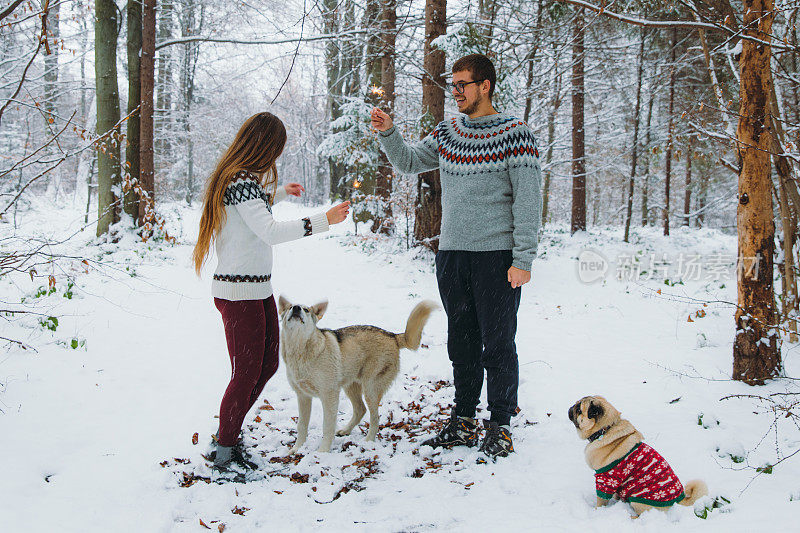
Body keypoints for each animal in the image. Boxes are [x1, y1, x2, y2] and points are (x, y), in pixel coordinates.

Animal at [280, 296, 438, 454]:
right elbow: (301, 426)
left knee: (375, 418)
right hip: (351, 387)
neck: (299, 350)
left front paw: (322, 452)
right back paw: (345, 430)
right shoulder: (303, 397)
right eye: (290, 307)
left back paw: (369, 441)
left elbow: (327, 427)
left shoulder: (329, 396)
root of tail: (392, 336)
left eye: (306, 310)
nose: (296, 308)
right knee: (361, 410)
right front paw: (297, 448)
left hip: (370, 390)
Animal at [568, 394, 708, 516]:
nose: (571, 407)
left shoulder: (605, 478)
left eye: (579, 409)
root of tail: (679, 500)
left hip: (638, 499)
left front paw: (597, 511)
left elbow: (601, 500)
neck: (605, 429)